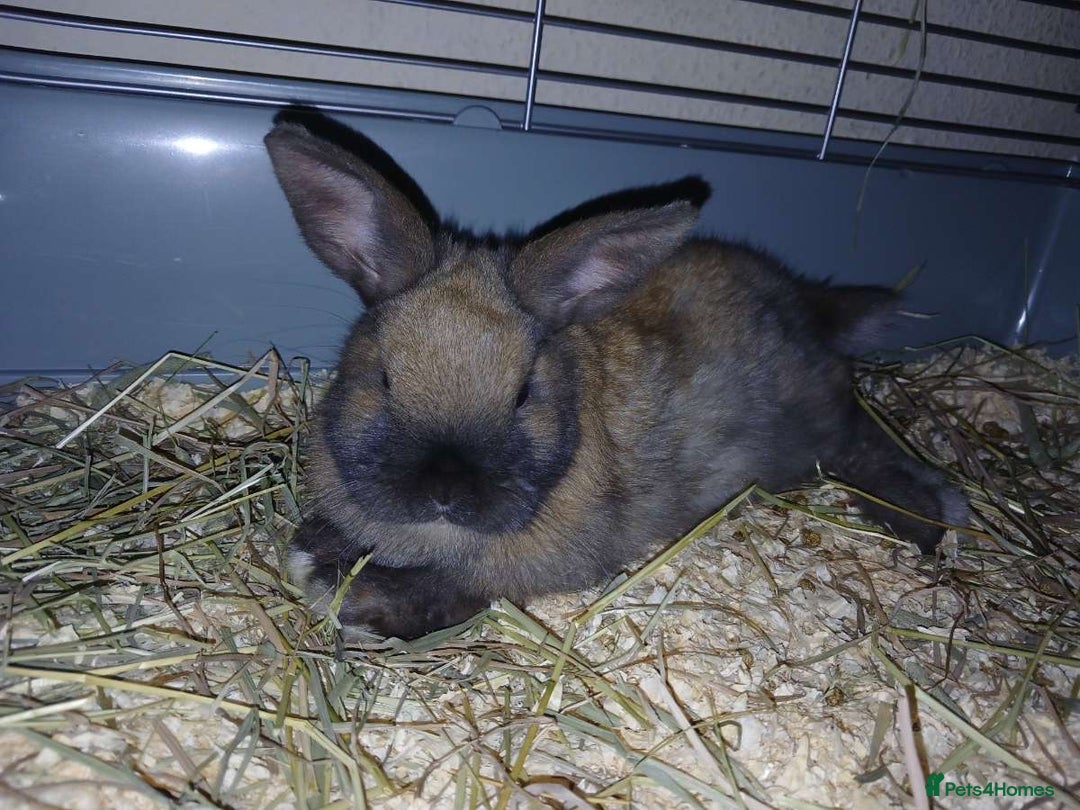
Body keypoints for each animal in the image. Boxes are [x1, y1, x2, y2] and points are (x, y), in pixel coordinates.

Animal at [264, 120, 967, 640]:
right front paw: (314, 550)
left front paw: (347, 592)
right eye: (383, 377)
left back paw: (930, 520)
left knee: (863, 445)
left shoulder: (532, 566)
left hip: (818, 425)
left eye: (524, 393)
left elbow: (456, 589)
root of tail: (807, 304)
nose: (444, 491)